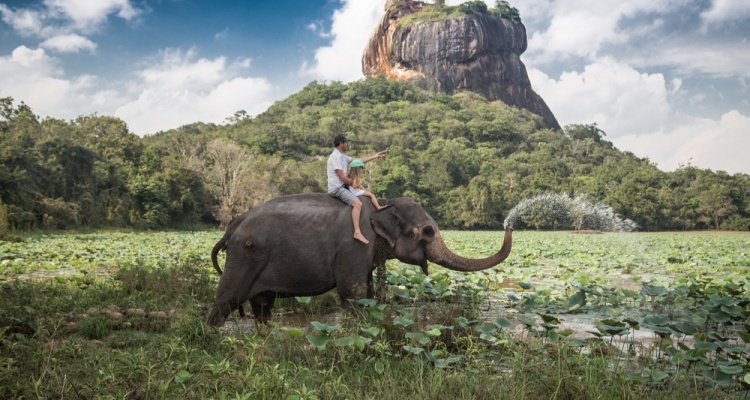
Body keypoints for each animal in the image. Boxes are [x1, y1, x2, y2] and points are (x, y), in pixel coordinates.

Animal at [209, 192, 516, 326]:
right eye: (428, 231)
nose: (509, 225)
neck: (382, 204)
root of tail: (233, 225)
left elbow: (366, 292)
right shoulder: (354, 247)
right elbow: (353, 293)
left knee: (263, 306)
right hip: (244, 256)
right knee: (226, 301)